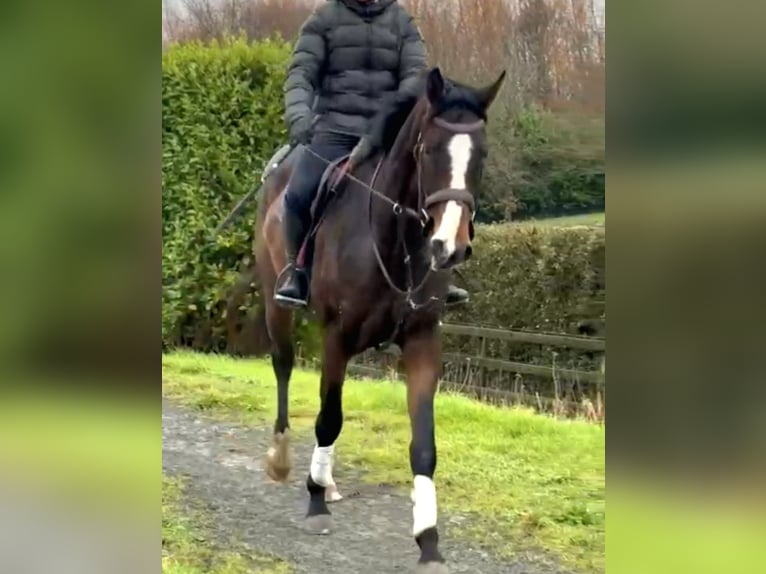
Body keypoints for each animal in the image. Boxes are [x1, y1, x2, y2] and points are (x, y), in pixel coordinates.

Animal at [253, 66, 505, 573]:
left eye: (482, 154)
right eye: (429, 151)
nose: (450, 247)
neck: (396, 240)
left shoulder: (423, 341)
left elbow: (423, 445)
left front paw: (428, 539)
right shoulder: (337, 336)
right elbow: (329, 419)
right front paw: (315, 503)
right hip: (278, 308)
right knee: (284, 368)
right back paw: (283, 459)